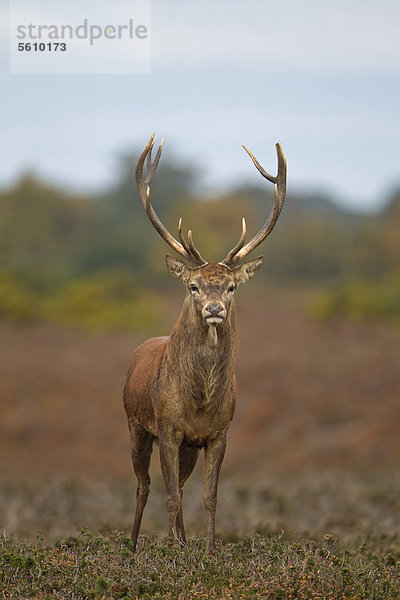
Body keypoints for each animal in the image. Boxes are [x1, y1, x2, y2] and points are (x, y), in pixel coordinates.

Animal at [123, 134, 286, 556]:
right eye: (193, 286)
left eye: (230, 287)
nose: (214, 309)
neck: (199, 401)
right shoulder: (167, 427)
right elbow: (168, 496)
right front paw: (171, 553)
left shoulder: (216, 434)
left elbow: (209, 496)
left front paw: (209, 551)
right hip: (135, 425)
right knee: (144, 486)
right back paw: (133, 547)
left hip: (187, 447)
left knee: (178, 486)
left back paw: (180, 541)